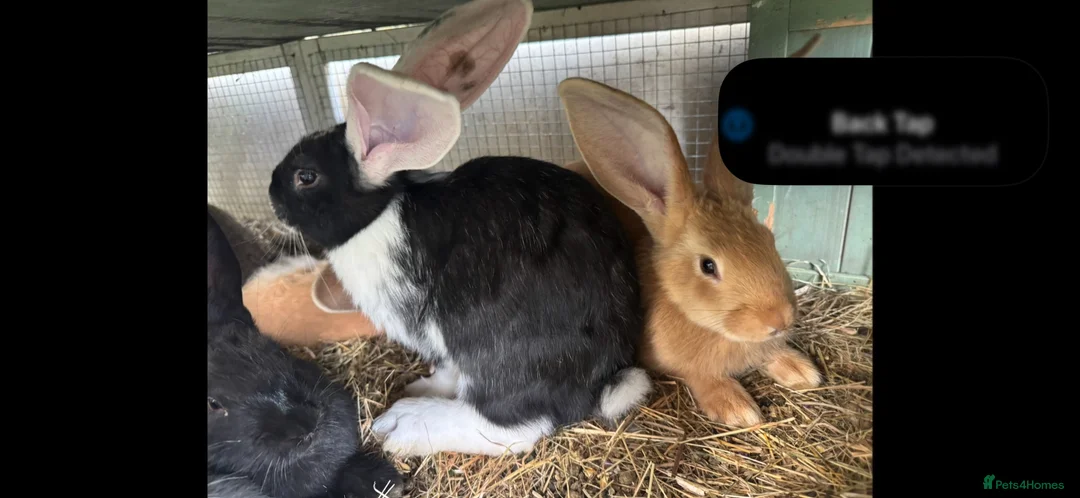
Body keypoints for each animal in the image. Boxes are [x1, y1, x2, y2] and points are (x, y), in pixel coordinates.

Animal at [264, 0, 652, 458]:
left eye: (305, 177)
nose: (270, 192)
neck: (378, 218)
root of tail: (604, 378)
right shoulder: (445, 349)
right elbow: (449, 369)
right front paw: (429, 382)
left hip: (495, 350)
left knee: (513, 425)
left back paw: (404, 425)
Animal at [553, 36, 825, 428]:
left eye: (770, 241)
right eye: (708, 266)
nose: (778, 320)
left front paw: (800, 370)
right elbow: (700, 375)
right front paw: (736, 407)